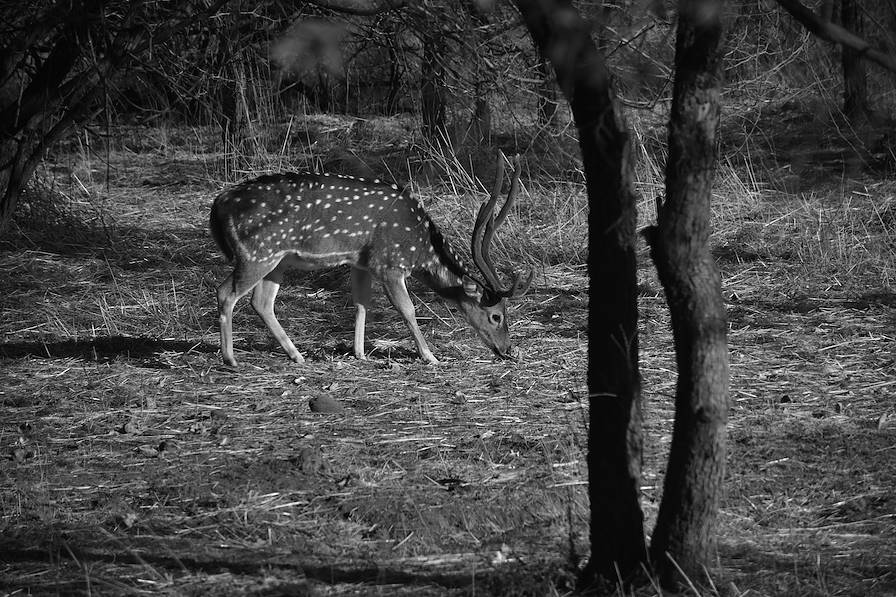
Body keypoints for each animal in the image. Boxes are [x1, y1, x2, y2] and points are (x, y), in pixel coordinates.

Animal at [210, 151, 532, 366]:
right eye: (496, 315)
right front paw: (430, 356)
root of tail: (218, 204)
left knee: (261, 302)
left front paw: (360, 352)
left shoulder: (360, 262)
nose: (507, 349)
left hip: (277, 260)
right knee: (226, 292)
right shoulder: (388, 263)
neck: (419, 247)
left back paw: (297, 355)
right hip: (256, 253)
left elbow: (362, 303)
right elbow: (407, 309)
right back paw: (231, 358)